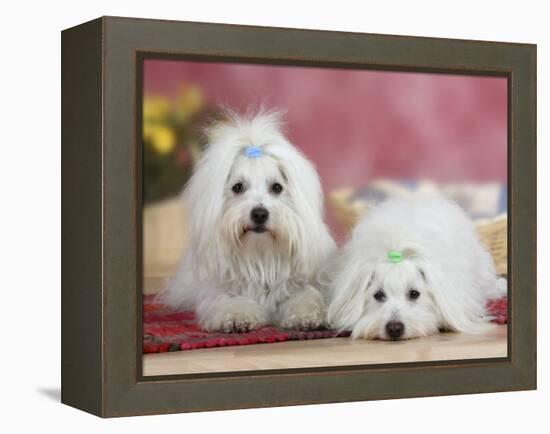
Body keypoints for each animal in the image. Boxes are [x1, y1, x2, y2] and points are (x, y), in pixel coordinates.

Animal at [156, 111, 336, 332]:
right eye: (238, 187)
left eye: (277, 187)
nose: (259, 214)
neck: (260, 257)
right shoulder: (219, 292)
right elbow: (232, 302)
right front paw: (238, 317)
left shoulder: (299, 284)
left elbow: (306, 297)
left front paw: (307, 316)